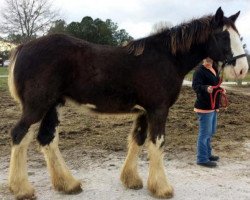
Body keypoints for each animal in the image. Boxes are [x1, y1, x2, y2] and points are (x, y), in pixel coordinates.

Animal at [6, 7, 248, 199]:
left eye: (239, 36)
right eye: (223, 36)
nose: (242, 69)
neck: (166, 58)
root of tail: (23, 47)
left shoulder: (143, 112)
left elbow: (138, 140)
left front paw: (132, 180)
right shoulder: (158, 110)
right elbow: (157, 143)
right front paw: (162, 188)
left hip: (53, 105)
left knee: (47, 138)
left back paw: (68, 184)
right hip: (37, 106)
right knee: (19, 134)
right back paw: (22, 189)